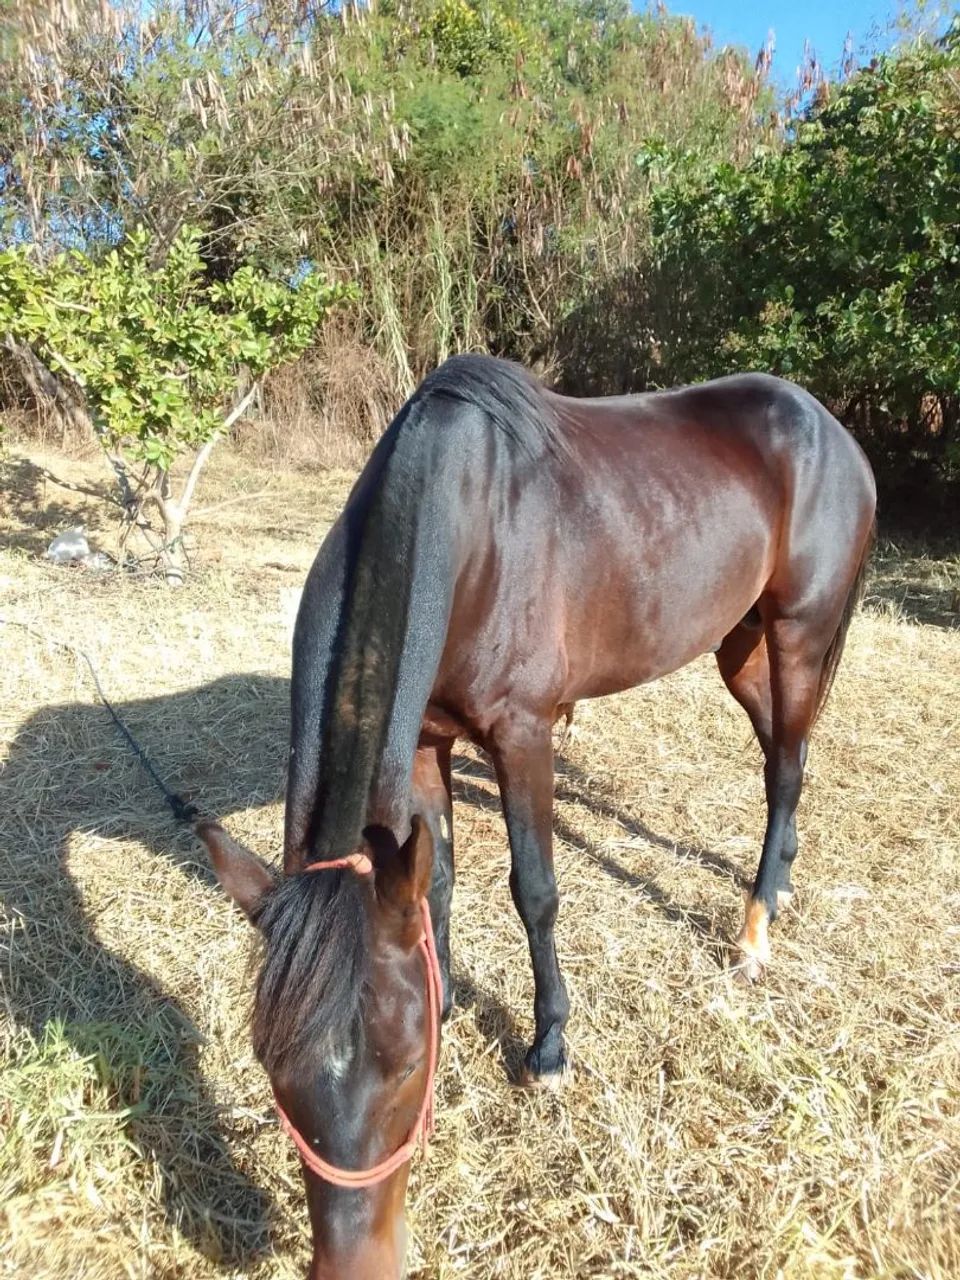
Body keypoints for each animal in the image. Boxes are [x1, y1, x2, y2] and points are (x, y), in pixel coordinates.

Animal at [197, 354, 876, 1279]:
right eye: (272, 1067)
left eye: (405, 1069)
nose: (353, 1265)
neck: (462, 526)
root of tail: (832, 430)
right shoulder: (426, 742)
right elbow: (436, 879)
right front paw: (448, 989)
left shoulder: (522, 735)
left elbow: (536, 891)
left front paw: (549, 1045)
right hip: (736, 642)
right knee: (782, 753)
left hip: (798, 635)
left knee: (787, 765)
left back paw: (756, 928)